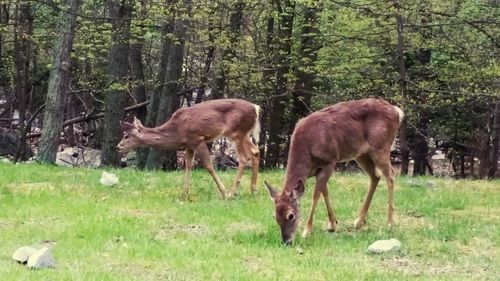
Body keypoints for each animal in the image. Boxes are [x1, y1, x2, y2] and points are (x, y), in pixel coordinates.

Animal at [117, 98, 262, 199]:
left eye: (126, 135)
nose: (118, 147)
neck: (176, 131)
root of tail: (256, 108)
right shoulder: (189, 145)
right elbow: (188, 166)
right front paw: (184, 194)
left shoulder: (198, 139)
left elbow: (208, 166)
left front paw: (223, 192)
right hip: (244, 134)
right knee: (255, 152)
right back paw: (253, 190)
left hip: (236, 132)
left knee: (244, 158)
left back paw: (231, 193)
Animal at [266, 97, 402, 244]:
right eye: (274, 216)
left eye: (291, 216)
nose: (286, 241)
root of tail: (397, 112)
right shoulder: (317, 170)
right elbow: (325, 191)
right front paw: (332, 224)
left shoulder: (330, 161)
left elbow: (316, 194)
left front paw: (307, 231)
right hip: (361, 154)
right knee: (375, 176)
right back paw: (359, 221)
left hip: (381, 146)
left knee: (391, 175)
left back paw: (390, 222)